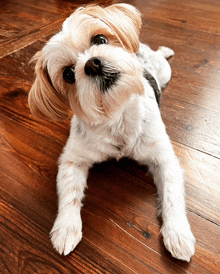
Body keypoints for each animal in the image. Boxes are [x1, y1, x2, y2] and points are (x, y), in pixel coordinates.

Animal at [28, 3, 195, 262]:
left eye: (100, 39)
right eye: (68, 74)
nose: (92, 64)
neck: (116, 114)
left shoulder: (164, 159)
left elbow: (172, 195)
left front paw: (178, 233)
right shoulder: (72, 160)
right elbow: (70, 193)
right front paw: (66, 227)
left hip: (165, 72)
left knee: (162, 57)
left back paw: (164, 50)